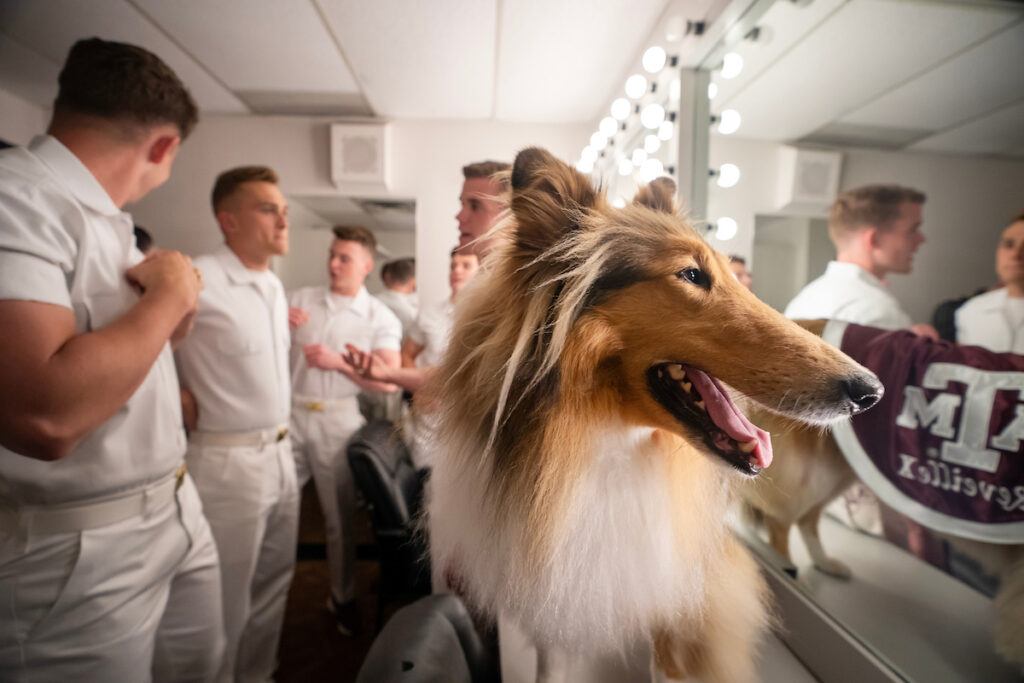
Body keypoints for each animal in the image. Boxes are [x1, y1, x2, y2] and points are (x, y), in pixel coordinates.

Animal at [423, 149, 880, 683]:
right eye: (691, 275)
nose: (872, 391)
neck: (607, 445)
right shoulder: (552, 596)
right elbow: (551, 662)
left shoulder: (674, 587)